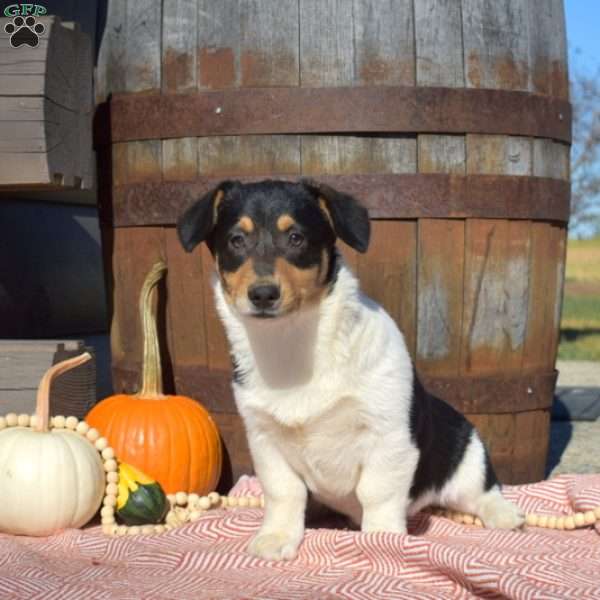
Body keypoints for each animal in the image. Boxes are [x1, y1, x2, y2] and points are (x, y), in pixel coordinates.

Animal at [176, 180, 524, 560]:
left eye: (296, 238)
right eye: (236, 240)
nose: (263, 294)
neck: (292, 341)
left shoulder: (388, 436)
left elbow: (378, 494)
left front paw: (383, 540)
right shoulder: (265, 440)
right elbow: (284, 492)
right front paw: (277, 537)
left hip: (466, 457)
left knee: (483, 492)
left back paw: (505, 515)